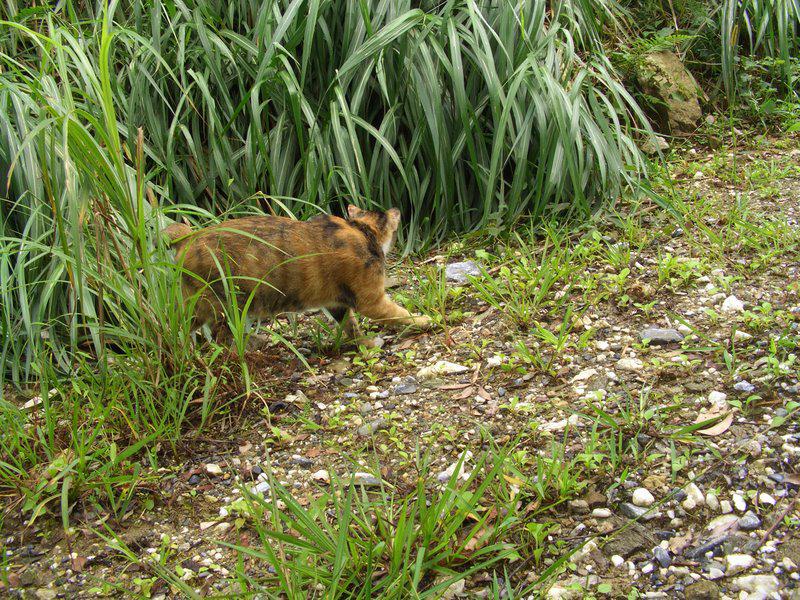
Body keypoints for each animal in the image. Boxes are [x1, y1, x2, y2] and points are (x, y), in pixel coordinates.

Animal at [164, 205, 432, 347]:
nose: (397, 209)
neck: (360, 231)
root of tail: (187, 237)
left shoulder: (337, 305)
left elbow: (351, 327)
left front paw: (364, 345)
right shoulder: (371, 300)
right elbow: (399, 314)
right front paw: (424, 320)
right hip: (217, 306)